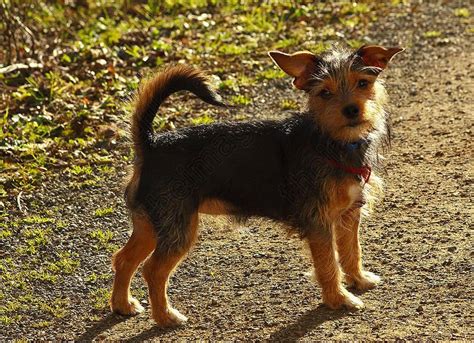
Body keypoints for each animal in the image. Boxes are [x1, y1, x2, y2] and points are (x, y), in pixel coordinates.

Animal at [110, 44, 404, 326]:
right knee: (153, 270)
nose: (352, 110)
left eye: (363, 83)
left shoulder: (349, 214)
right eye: (325, 93)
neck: (330, 142)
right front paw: (339, 299)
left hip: (151, 224)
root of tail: (151, 145)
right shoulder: (318, 222)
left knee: (123, 258)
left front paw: (359, 279)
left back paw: (123, 305)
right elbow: (328, 264)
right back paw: (165, 317)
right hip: (177, 228)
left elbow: (351, 251)